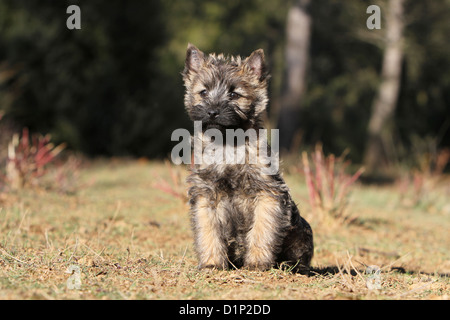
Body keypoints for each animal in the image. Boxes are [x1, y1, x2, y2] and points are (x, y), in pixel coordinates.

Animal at [181, 43, 312, 272]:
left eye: (234, 94)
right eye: (203, 92)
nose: (212, 111)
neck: (228, 144)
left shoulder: (267, 193)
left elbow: (262, 230)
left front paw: (257, 262)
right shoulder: (206, 195)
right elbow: (208, 230)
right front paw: (212, 262)